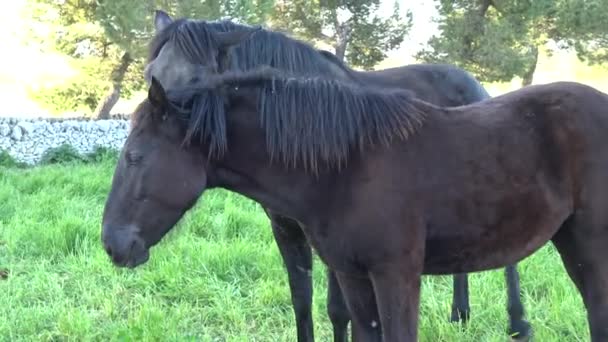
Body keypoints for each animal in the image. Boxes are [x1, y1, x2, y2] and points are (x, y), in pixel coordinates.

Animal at [144, 10, 532, 342]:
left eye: (197, 80)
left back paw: (517, 323)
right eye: (151, 73)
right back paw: (460, 314)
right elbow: (301, 301)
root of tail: (473, 82)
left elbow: (337, 309)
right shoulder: (286, 228)